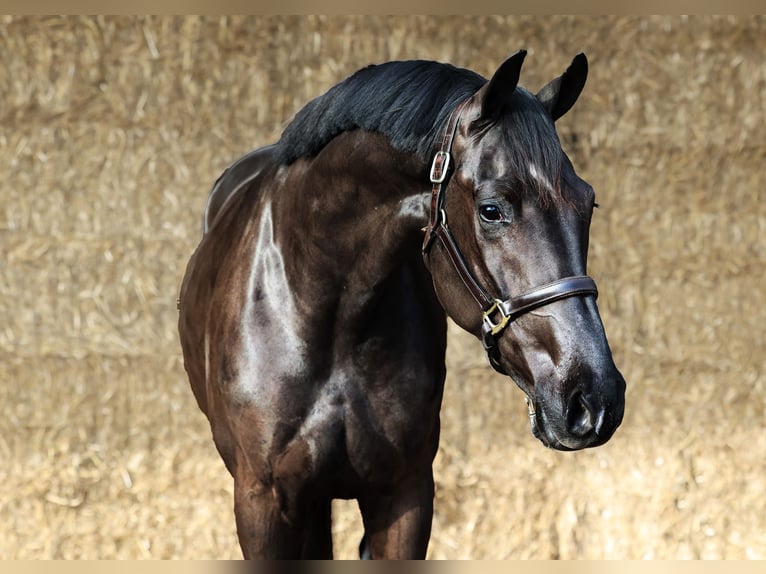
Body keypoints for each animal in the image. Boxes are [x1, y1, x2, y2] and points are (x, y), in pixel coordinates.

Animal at [178, 50, 626, 559]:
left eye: (588, 203)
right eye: (492, 209)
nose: (595, 399)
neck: (328, 314)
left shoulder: (404, 496)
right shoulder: (263, 501)